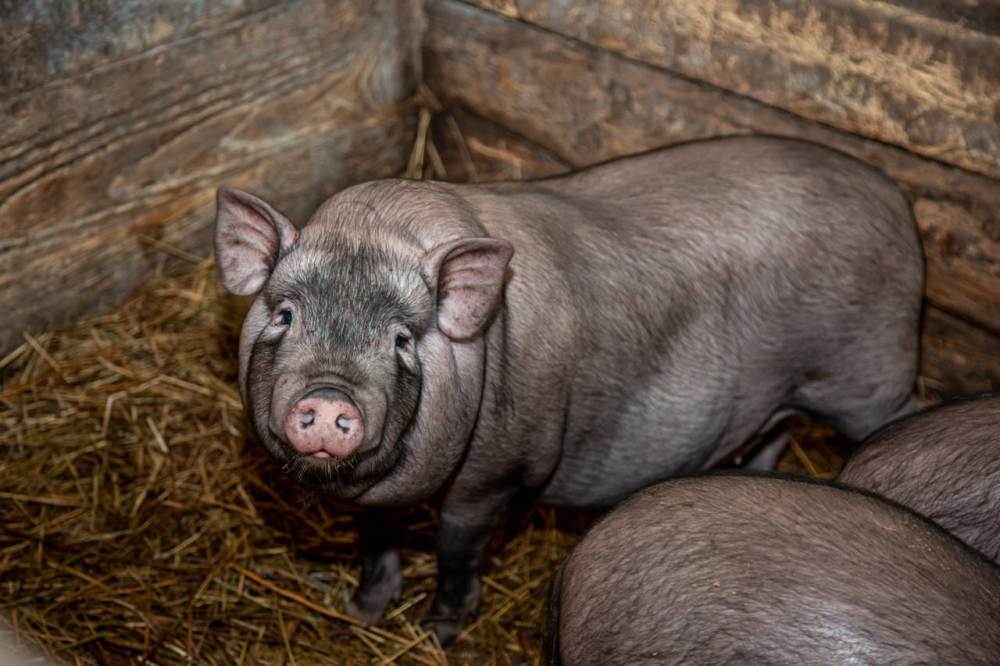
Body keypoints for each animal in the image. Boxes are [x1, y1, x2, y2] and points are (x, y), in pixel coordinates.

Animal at [211, 134, 920, 640]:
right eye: (285, 314)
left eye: (402, 340)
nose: (330, 398)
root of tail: (897, 203)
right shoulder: (382, 495)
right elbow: (377, 539)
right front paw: (362, 615)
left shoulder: (498, 471)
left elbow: (456, 550)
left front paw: (439, 633)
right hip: (782, 396)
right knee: (772, 434)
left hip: (869, 377)